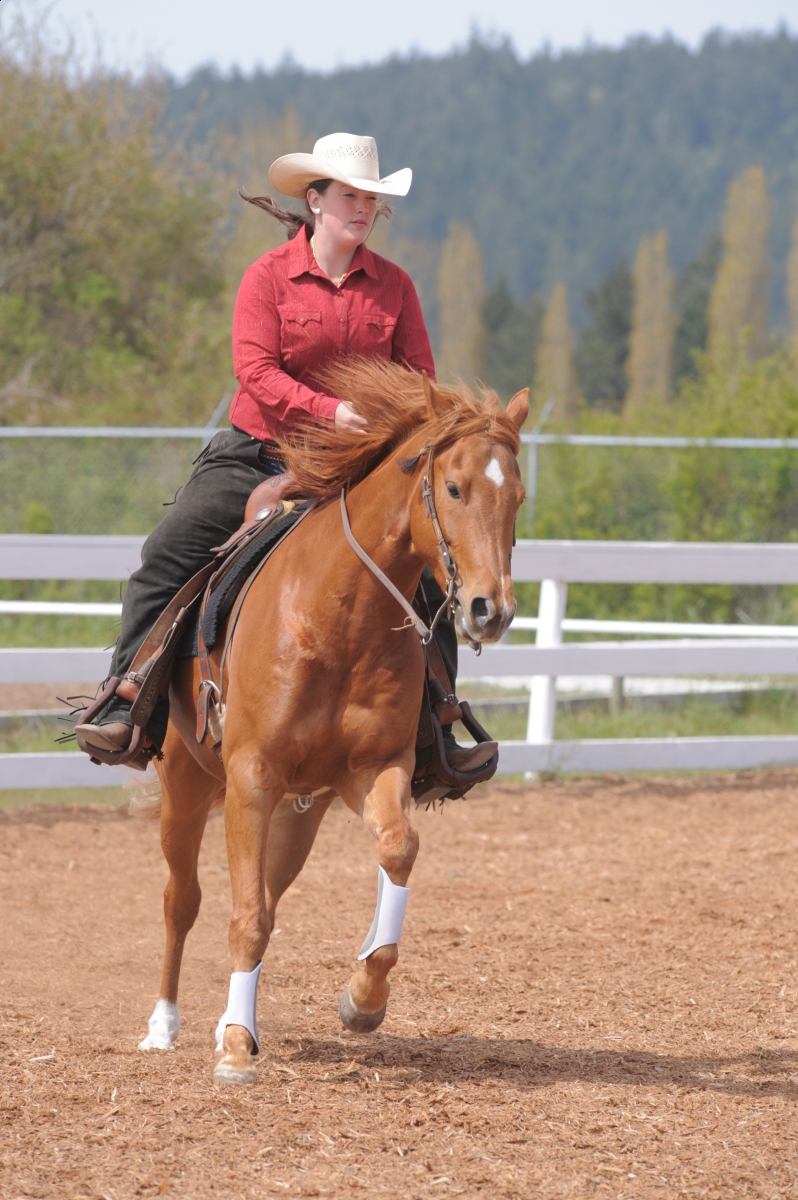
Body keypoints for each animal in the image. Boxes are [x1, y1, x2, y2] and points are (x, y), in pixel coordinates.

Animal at [137, 357, 528, 1085]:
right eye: (453, 487)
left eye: (517, 495)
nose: (491, 609)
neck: (337, 616)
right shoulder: (251, 776)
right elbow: (240, 917)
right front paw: (234, 1051)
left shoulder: (374, 770)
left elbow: (396, 852)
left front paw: (363, 999)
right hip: (187, 784)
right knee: (185, 900)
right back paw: (165, 1025)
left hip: (301, 811)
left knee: (266, 895)